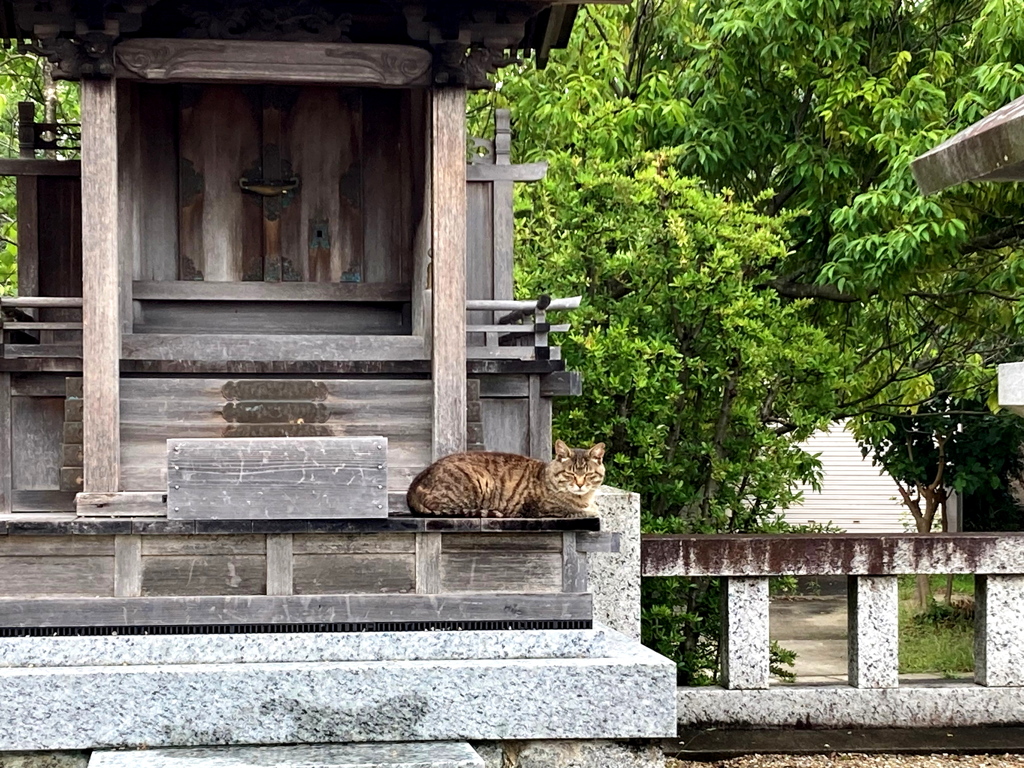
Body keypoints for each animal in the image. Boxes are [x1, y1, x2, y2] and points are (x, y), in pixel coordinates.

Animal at [403, 442, 602, 520]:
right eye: (570, 474)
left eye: (589, 474)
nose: (580, 484)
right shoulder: (545, 509)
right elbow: (581, 512)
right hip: (478, 481)